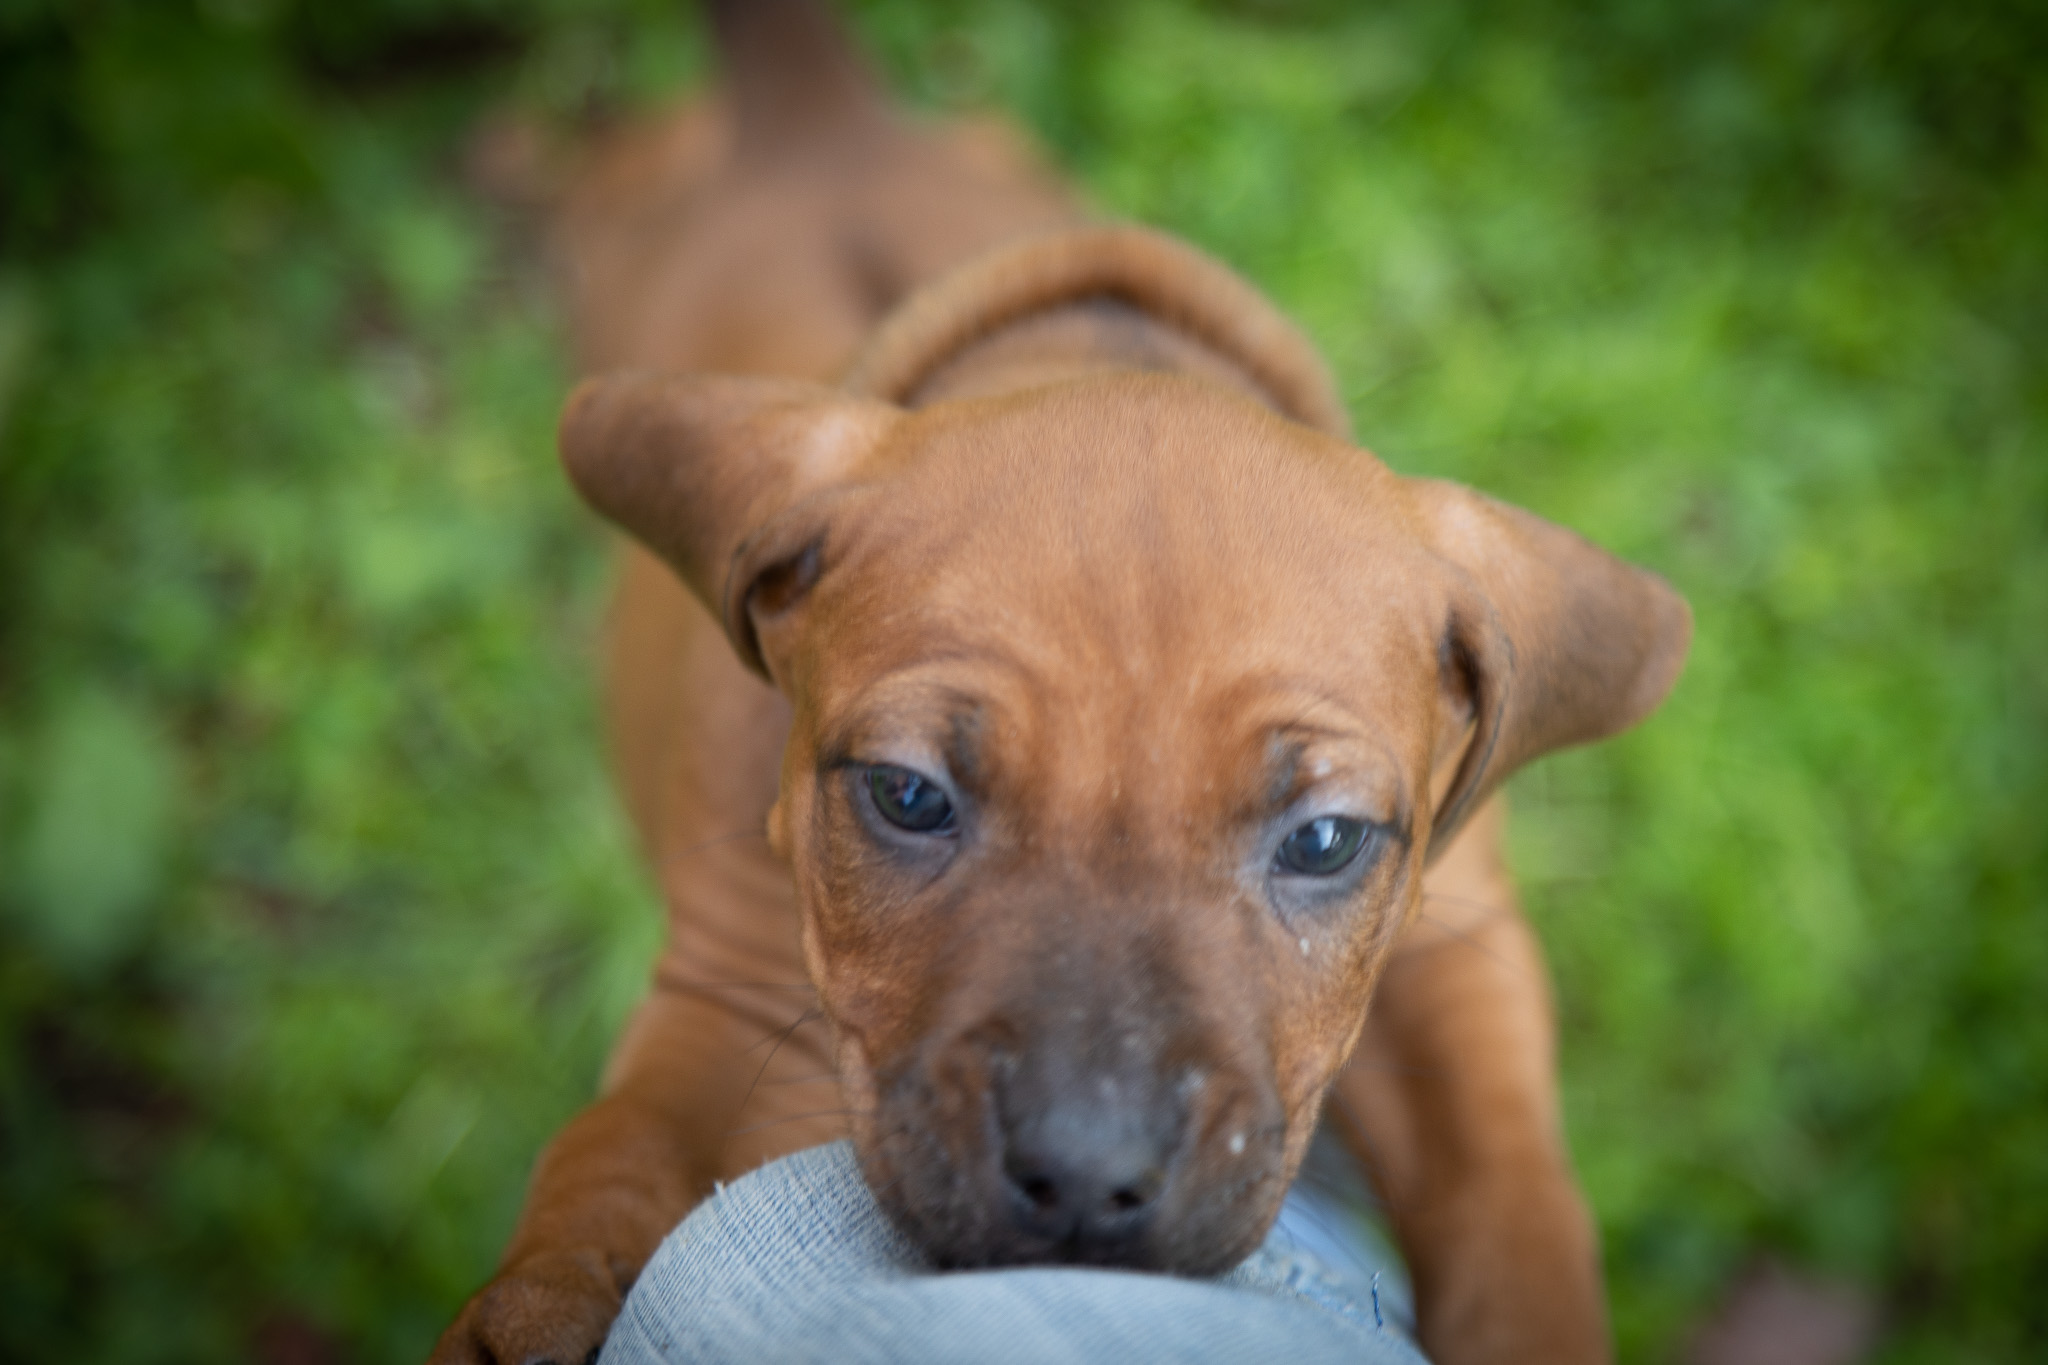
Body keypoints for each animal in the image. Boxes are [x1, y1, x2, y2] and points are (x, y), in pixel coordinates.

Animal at [428, 5, 1679, 1358]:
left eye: (1326, 839)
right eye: (908, 797)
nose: (1086, 1176)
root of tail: (813, 118)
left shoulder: (1462, 951)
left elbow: (1514, 1201)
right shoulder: (724, 991)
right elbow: (611, 1147)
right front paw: (531, 1309)